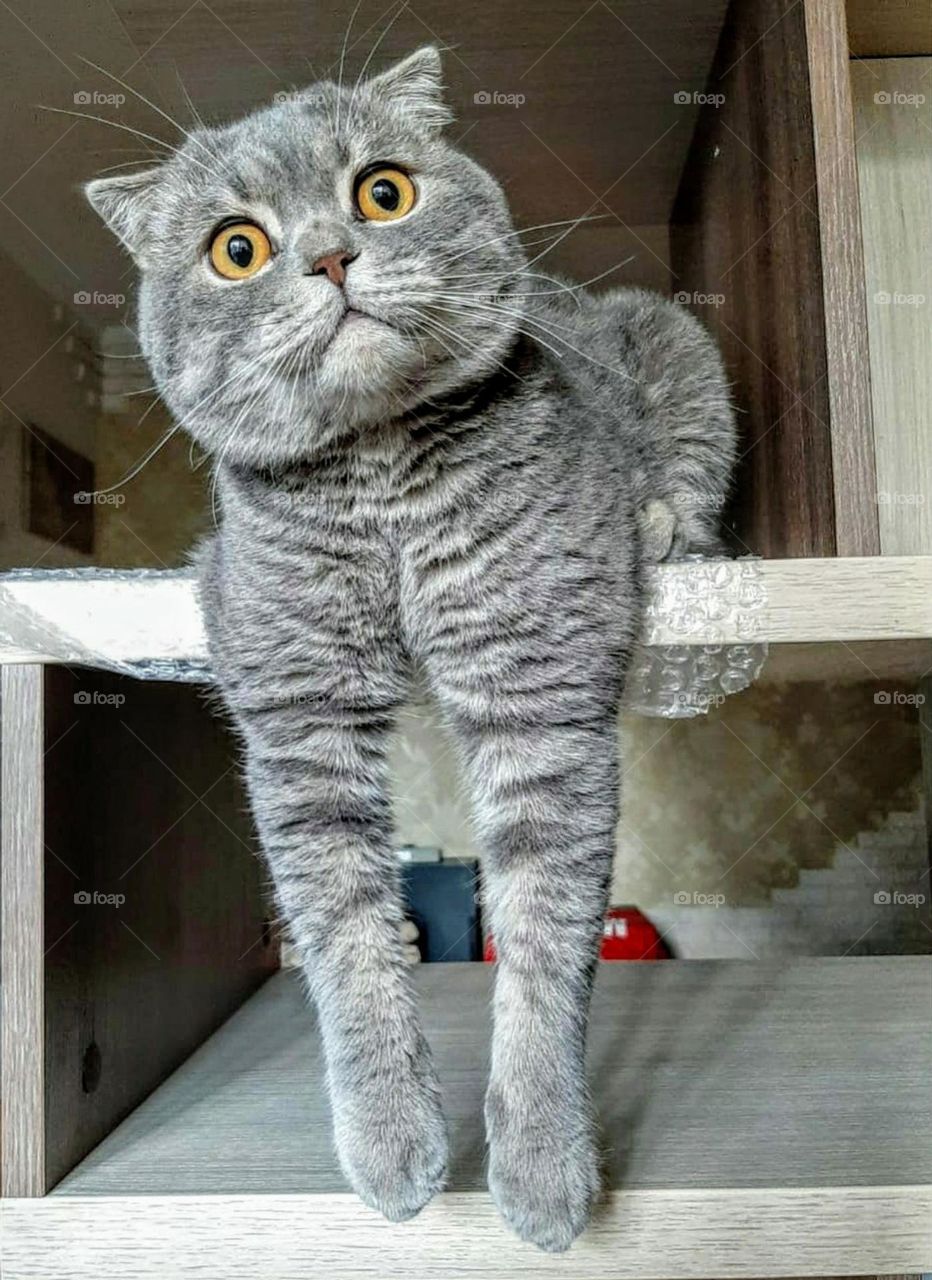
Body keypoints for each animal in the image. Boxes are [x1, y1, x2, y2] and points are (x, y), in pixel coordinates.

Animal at [88, 47, 737, 1249]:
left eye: (382, 192)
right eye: (236, 248)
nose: (331, 254)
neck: (384, 484)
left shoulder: (536, 695)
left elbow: (541, 943)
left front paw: (540, 1164)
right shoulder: (298, 718)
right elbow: (346, 938)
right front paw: (392, 1145)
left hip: (672, 343)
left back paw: (667, 523)